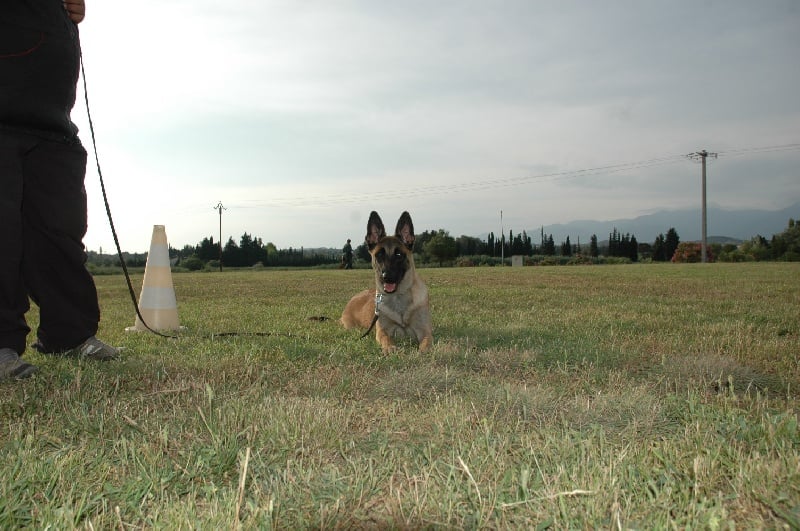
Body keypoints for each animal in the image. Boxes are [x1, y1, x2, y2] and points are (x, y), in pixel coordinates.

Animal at [340, 211, 433, 353]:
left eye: (399, 255)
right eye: (379, 255)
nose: (386, 277)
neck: (398, 297)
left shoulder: (425, 330)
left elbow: (426, 342)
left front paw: (423, 351)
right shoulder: (382, 331)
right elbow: (386, 339)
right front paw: (390, 348)